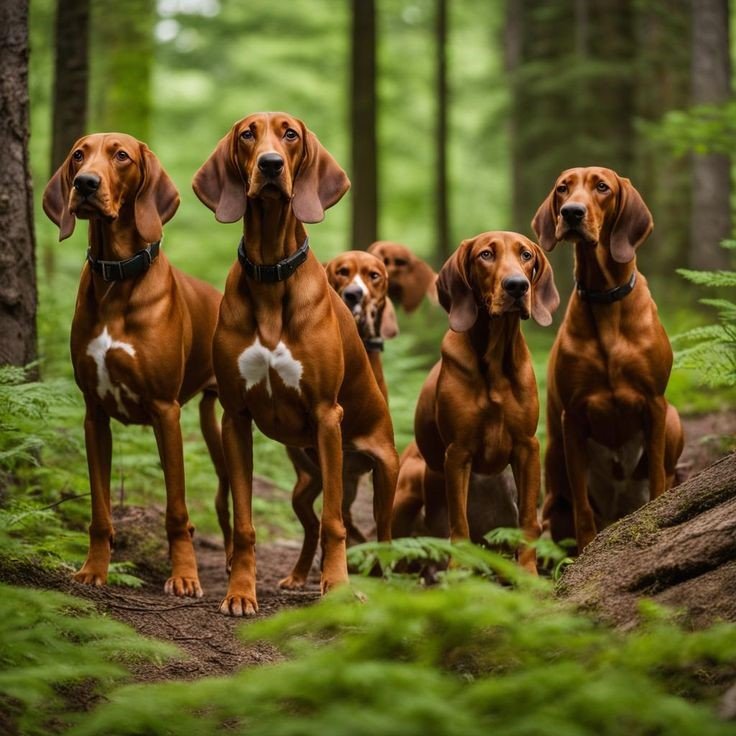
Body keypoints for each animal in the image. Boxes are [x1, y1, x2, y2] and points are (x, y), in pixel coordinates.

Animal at [42, 135, 226, 600]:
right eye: (78, 156)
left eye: (121, 155)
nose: (85, 184)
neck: (116, 278)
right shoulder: (94, 415)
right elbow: (100, 510)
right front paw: (93, 569)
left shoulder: (165, 411)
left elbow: (177, 510)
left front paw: (185, 576)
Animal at [282, 252, 400, 588]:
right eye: (342, 272)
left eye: (374, 275)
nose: (354, 294)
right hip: (305, 488)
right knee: (312, 524)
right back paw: (300, 573)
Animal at [412, 233, 556, 572]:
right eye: (486, 255)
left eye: (526, 255)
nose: (517, 286)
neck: (495, 359)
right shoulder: (458, 453)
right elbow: (459, 524)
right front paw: (458, 574)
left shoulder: (527, 447)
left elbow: (528, 521)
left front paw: (528, 573)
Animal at [536, 167, 684, 552]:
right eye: (563, 188)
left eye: (602, 187)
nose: (571, 213)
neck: (605, 297)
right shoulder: (572, 416)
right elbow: (582, 507)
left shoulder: (655, 404)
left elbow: (658, 479)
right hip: (553, 452)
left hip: (674, 419)